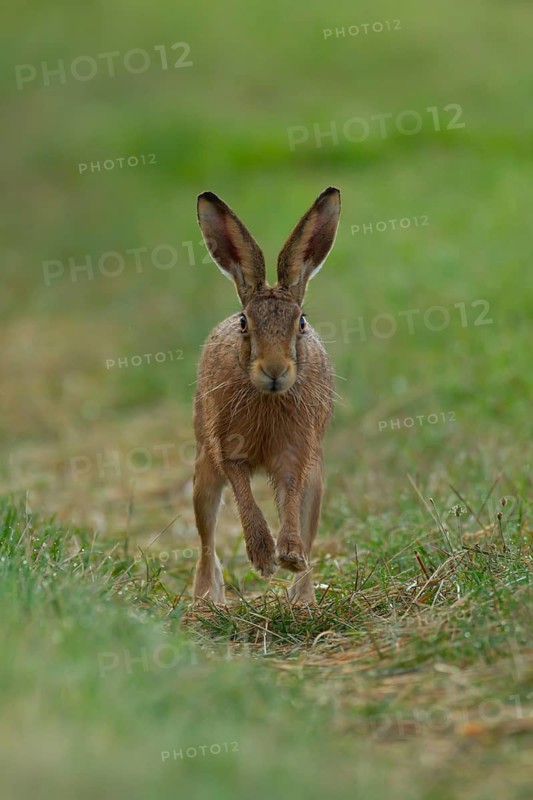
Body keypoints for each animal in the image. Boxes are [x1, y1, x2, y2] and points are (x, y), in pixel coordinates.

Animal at [192, 187, 340, 605]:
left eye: (301, 323)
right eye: (245, 323)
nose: (275, 371)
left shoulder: (297, 454)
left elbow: (289, 496)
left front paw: (287, 554)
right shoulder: (227, 450)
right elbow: (244, 495)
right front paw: (262, 557)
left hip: (318, 484)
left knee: (309, 529)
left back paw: (302, 598)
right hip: (202, 475)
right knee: (206, 540)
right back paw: (207, 601)